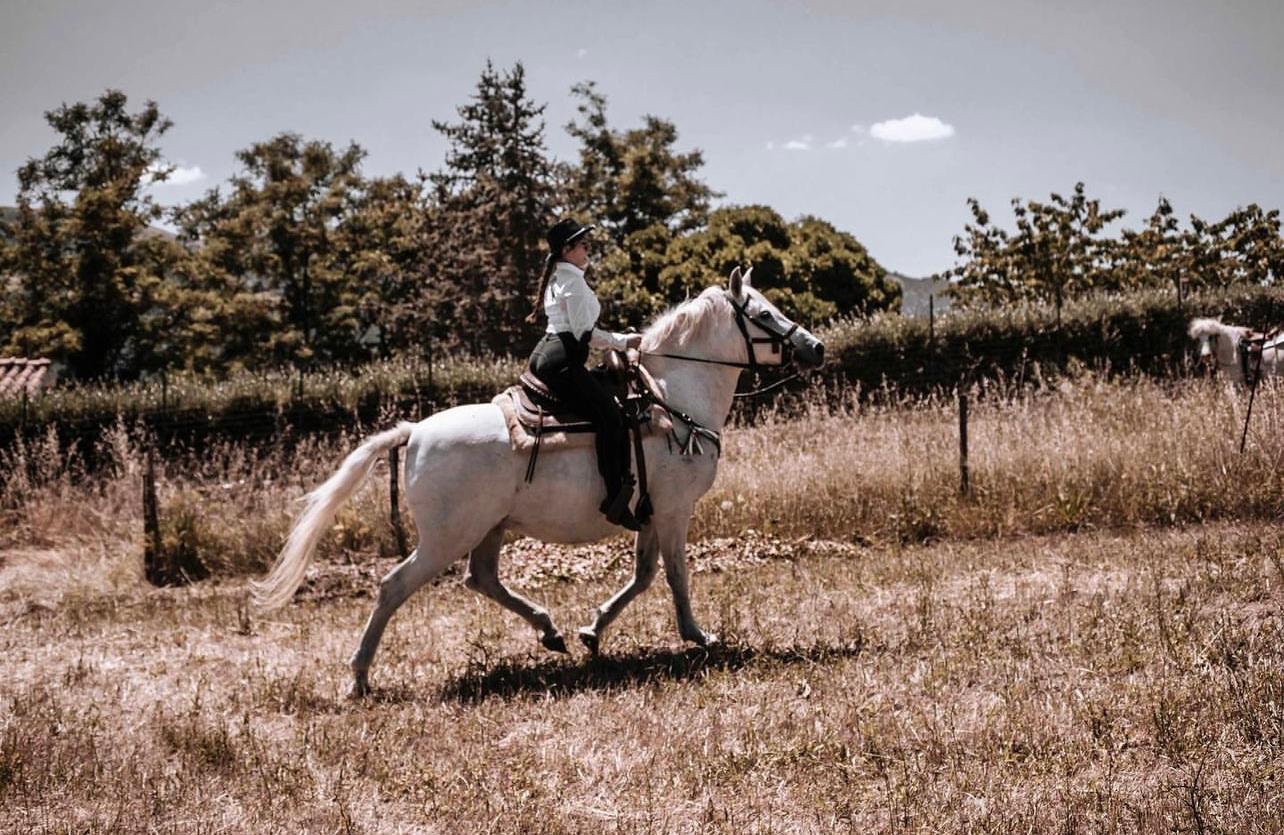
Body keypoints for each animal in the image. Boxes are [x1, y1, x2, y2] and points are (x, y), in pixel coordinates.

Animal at [255, 267, 826, 693]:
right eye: (763, 314)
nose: (816, 347)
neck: (671, 399)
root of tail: (414, 431)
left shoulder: (649, 514)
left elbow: (642, 576)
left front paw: (593, 630)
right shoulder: (674, 511)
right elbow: (675, 577)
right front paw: (699, 636)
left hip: (488, 529)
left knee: (482, 579)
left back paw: (550, 632)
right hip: (447, 537)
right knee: (394, 586)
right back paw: (358, 678)